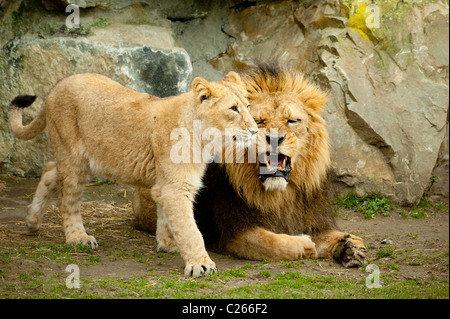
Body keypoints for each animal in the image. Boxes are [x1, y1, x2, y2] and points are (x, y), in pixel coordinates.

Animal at [8, 72, 258, 278]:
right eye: (233, 109)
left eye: (247, 105)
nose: (255, 130)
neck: (204, 137)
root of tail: (56, 87)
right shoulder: (176, 187)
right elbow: (190, 229)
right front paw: (200, 264)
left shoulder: (164, 185)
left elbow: (168, 219)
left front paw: (167, 244)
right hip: (74, 156)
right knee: (66, 200)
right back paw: (78, 238)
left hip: (80, 158)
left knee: (50, 170)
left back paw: (32, 220)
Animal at [133, 62, 366, 268]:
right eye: (259, 121)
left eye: (292, 121)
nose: (275, 139)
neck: (281, 196)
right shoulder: (235, 231)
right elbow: (274, 243)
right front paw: (306, 245)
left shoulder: (315, 219)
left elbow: (342, 237)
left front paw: (350, 246)